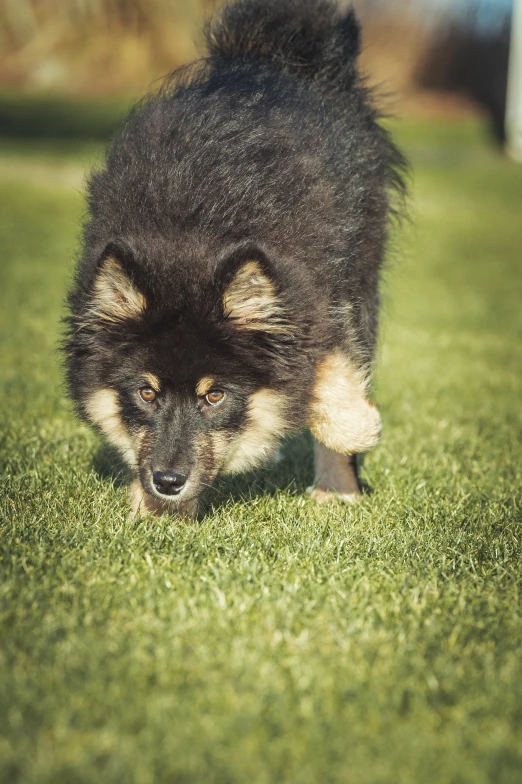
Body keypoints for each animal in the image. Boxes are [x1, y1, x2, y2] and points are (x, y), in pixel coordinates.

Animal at [65, 0, 404, 516]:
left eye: (215, 396)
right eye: (146, 392)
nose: (167, 482)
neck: (192, 229)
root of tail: (270, 56)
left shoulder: (315, 287)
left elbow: (331, 370)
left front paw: (356, 429)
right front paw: (151, 507)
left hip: (363, 266)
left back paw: (336, 486)